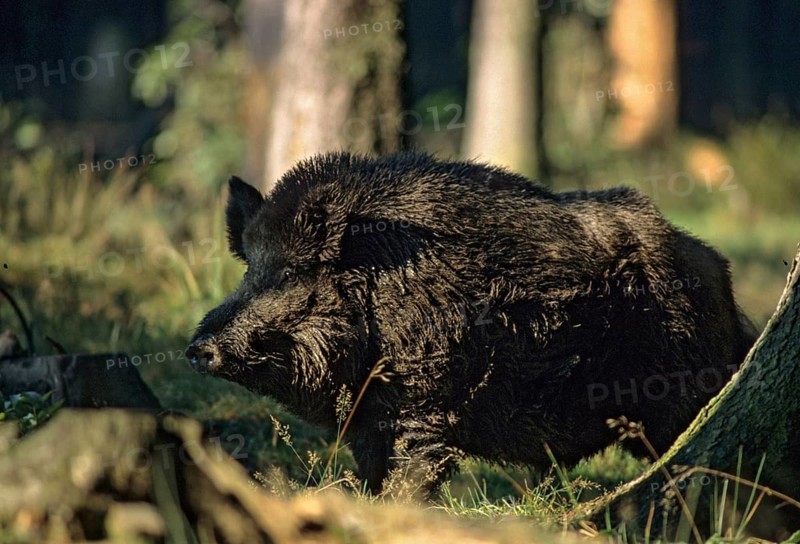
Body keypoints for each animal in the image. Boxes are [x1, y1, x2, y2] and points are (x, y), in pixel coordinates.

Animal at [188, 151, 756, 495]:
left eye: (289, 272)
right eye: (248, 268)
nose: (196, 348)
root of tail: (719, 271)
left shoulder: (425, 404)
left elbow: (413, 476)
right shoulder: (371, 422)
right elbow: (373, 476)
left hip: (678, 390)